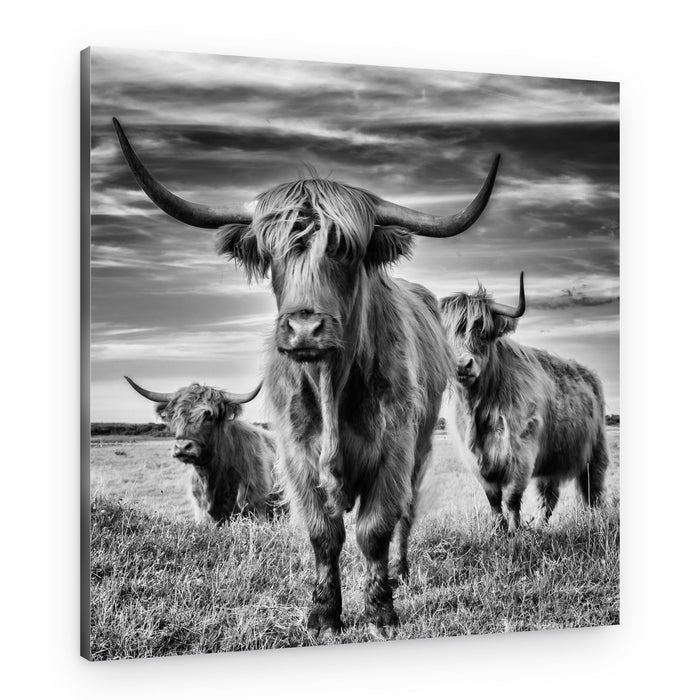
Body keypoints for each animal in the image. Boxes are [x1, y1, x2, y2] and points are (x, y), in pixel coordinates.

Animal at [439, 273, 609, 532]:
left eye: (481, 330)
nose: (462, 365)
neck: (479, 408)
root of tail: (587, 373)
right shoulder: (478, 461)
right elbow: (493, 499)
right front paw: (498, 530)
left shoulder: (521, 452)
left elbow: (511, 497)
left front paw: (515, 530)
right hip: (553, 458)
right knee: (549, 494)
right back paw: (539, 527)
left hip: (596, 448)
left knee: (593, 487)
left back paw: (593, 519)